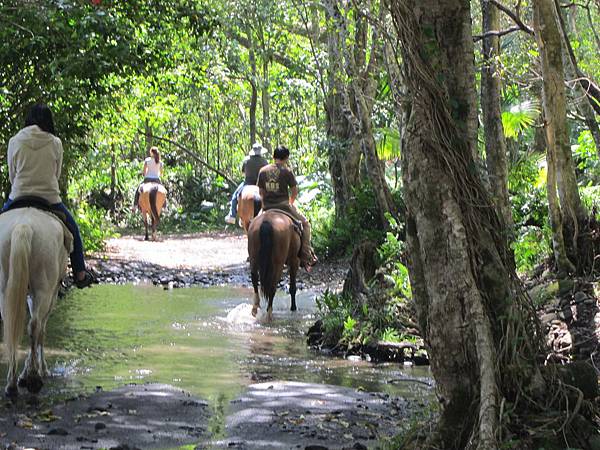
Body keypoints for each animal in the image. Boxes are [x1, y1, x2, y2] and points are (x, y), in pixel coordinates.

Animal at [0, 208, 71, 398]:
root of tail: (23, 226)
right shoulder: (50, 294)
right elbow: (42, 331)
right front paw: (40, 369)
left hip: (5, 288)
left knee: (11, 326)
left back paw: (11, 384)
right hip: (44, 289)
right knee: (34, 326)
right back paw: (32, 378)